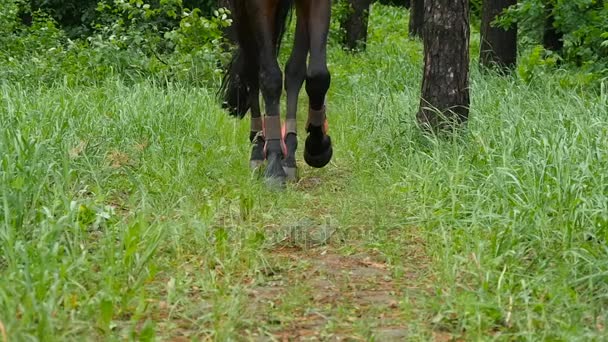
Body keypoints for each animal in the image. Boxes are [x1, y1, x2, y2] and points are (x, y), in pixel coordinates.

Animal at [220, 0, 332, 186]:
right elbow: (270, 77)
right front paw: (273, 167)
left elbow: (317, 75)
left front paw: (318, 148)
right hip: (241, 12)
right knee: (252, 68)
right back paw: (258, 148)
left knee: (295, 69)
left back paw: (289, 156)